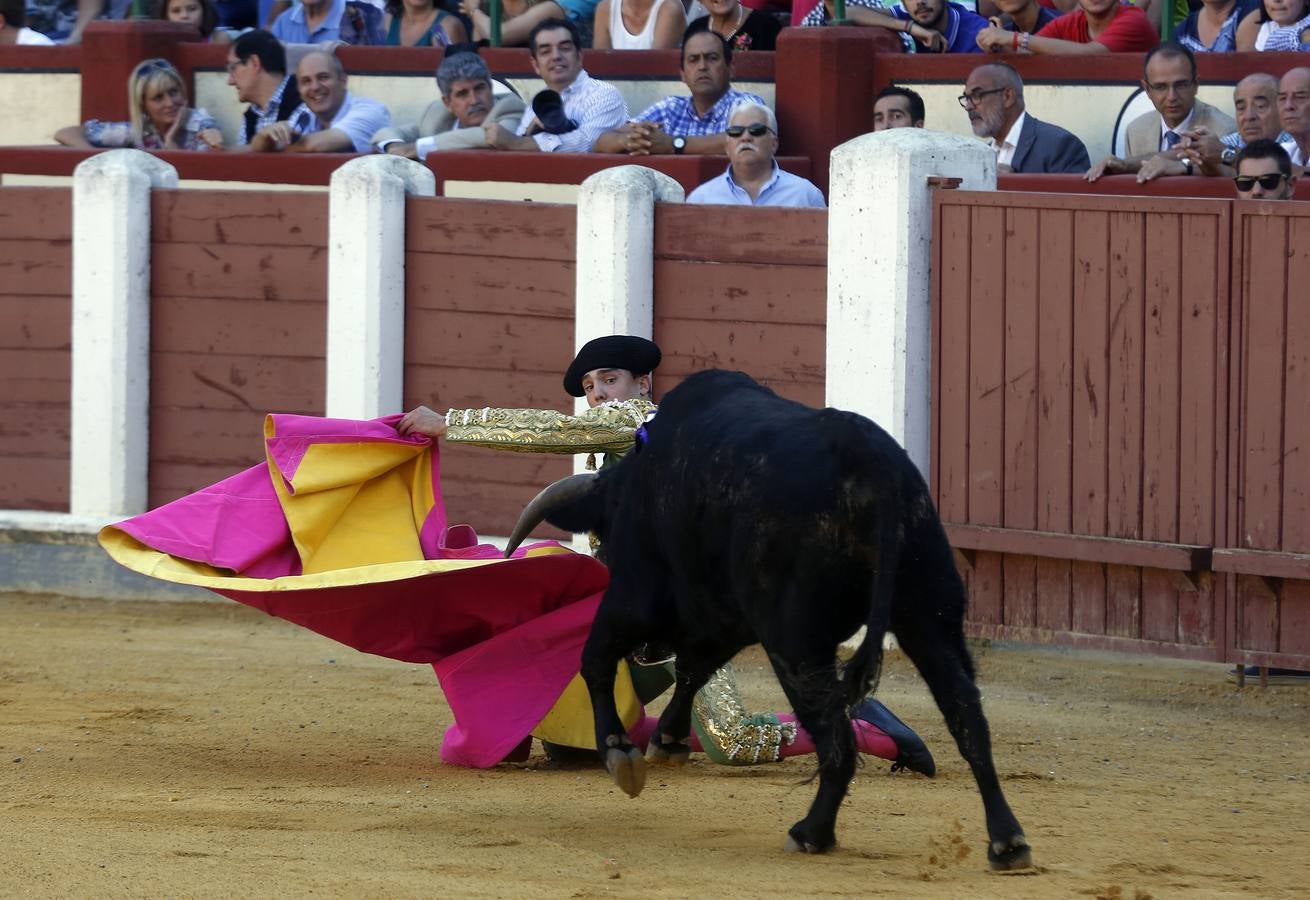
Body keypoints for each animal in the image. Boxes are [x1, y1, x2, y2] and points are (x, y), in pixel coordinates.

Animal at [505, 369, 1027, 869]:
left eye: (606, 543)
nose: (649, 653)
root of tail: (869, 461)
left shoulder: (640, 597)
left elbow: (596, 657)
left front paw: (621, 751)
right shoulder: (725, 615)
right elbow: (694, 669)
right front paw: (667, 740)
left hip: (797, 642)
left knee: (837, 740)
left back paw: (812, 833)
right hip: (929, 616)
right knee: (966, 716)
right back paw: (1006, 841)